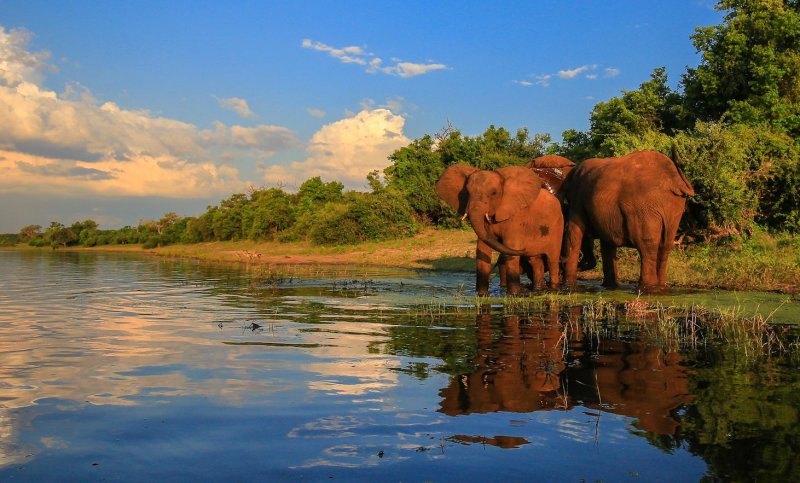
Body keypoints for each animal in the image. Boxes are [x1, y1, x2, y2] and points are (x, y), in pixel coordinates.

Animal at [438, 164, 564, 296]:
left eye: (494, 193)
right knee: (535, 260)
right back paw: (538, 289)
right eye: (467, 192)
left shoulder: (515, 216)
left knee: (551, 260)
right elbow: (482, 248)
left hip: (557, 225)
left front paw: (514, 294)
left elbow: (511, 246)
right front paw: (482, 295)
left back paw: (553, 289)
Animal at [560, 150, 696, 292]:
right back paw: (659, 289)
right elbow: (607, 243)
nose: (562, 264)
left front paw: (568, 288)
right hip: (673, 205)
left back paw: (645, 289)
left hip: (643, 206)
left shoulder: (577, 197)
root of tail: (674, 179)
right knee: (666, 243)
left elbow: (573, 232)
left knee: (646, 244)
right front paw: (610, 287)